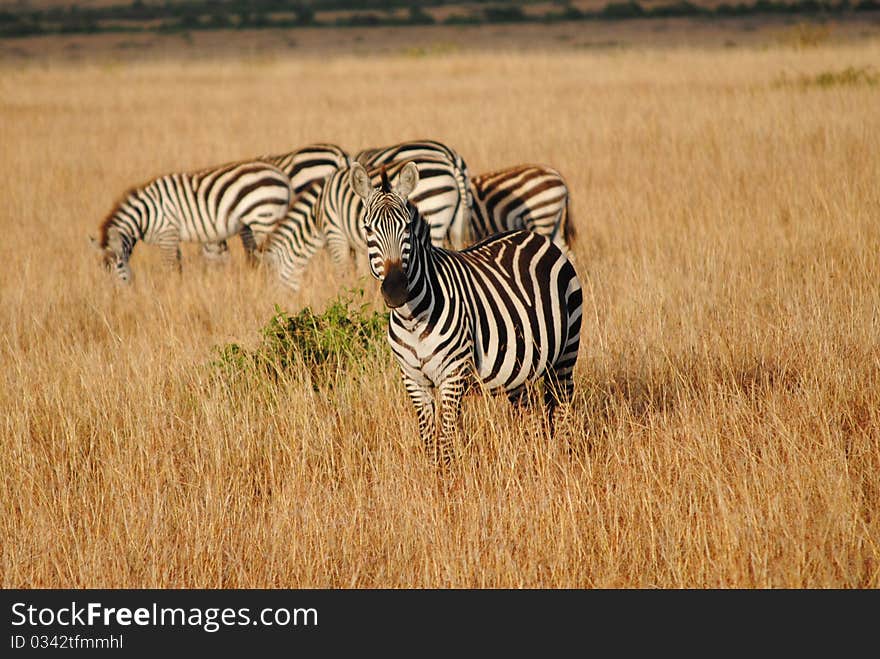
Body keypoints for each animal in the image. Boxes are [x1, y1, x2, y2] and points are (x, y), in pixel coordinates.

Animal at [93, 161, 292, 284]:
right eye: (104, 271)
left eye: (118, 266)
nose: (120, 295)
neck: (145, 214)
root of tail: (281, 175)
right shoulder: (171, 238)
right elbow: (178, 266)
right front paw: (179, 287)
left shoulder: (167, 233)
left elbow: (169, 266)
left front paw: (169, 289)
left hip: (265, 218)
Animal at [348, 161, 584, 464]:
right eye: (367, 229)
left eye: (407, 227)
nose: (395, 289)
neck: (412, 320)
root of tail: (534, 236)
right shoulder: (413, 380)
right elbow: (429, 441)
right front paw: (435, 476)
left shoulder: (452, 374)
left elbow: (447, 441)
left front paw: (451, 477)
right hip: (521, 369)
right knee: (531, 417)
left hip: (566, 354)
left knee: (562, 410)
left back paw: (563, 458)